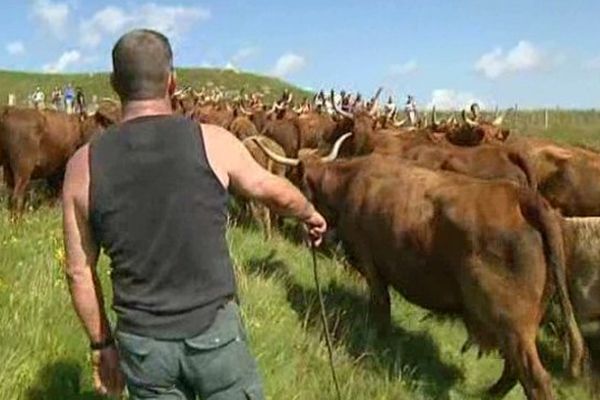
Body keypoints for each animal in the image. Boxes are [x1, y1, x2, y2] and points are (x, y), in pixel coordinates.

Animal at [258, 137, 584, 396]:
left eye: (294, 175)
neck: (350, 181)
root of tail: (523, 197)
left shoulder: (370, 263)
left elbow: (381, 306)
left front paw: (379, 337)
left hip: (511, 321)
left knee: (535, 379)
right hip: (522, 324)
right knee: (513, 371)